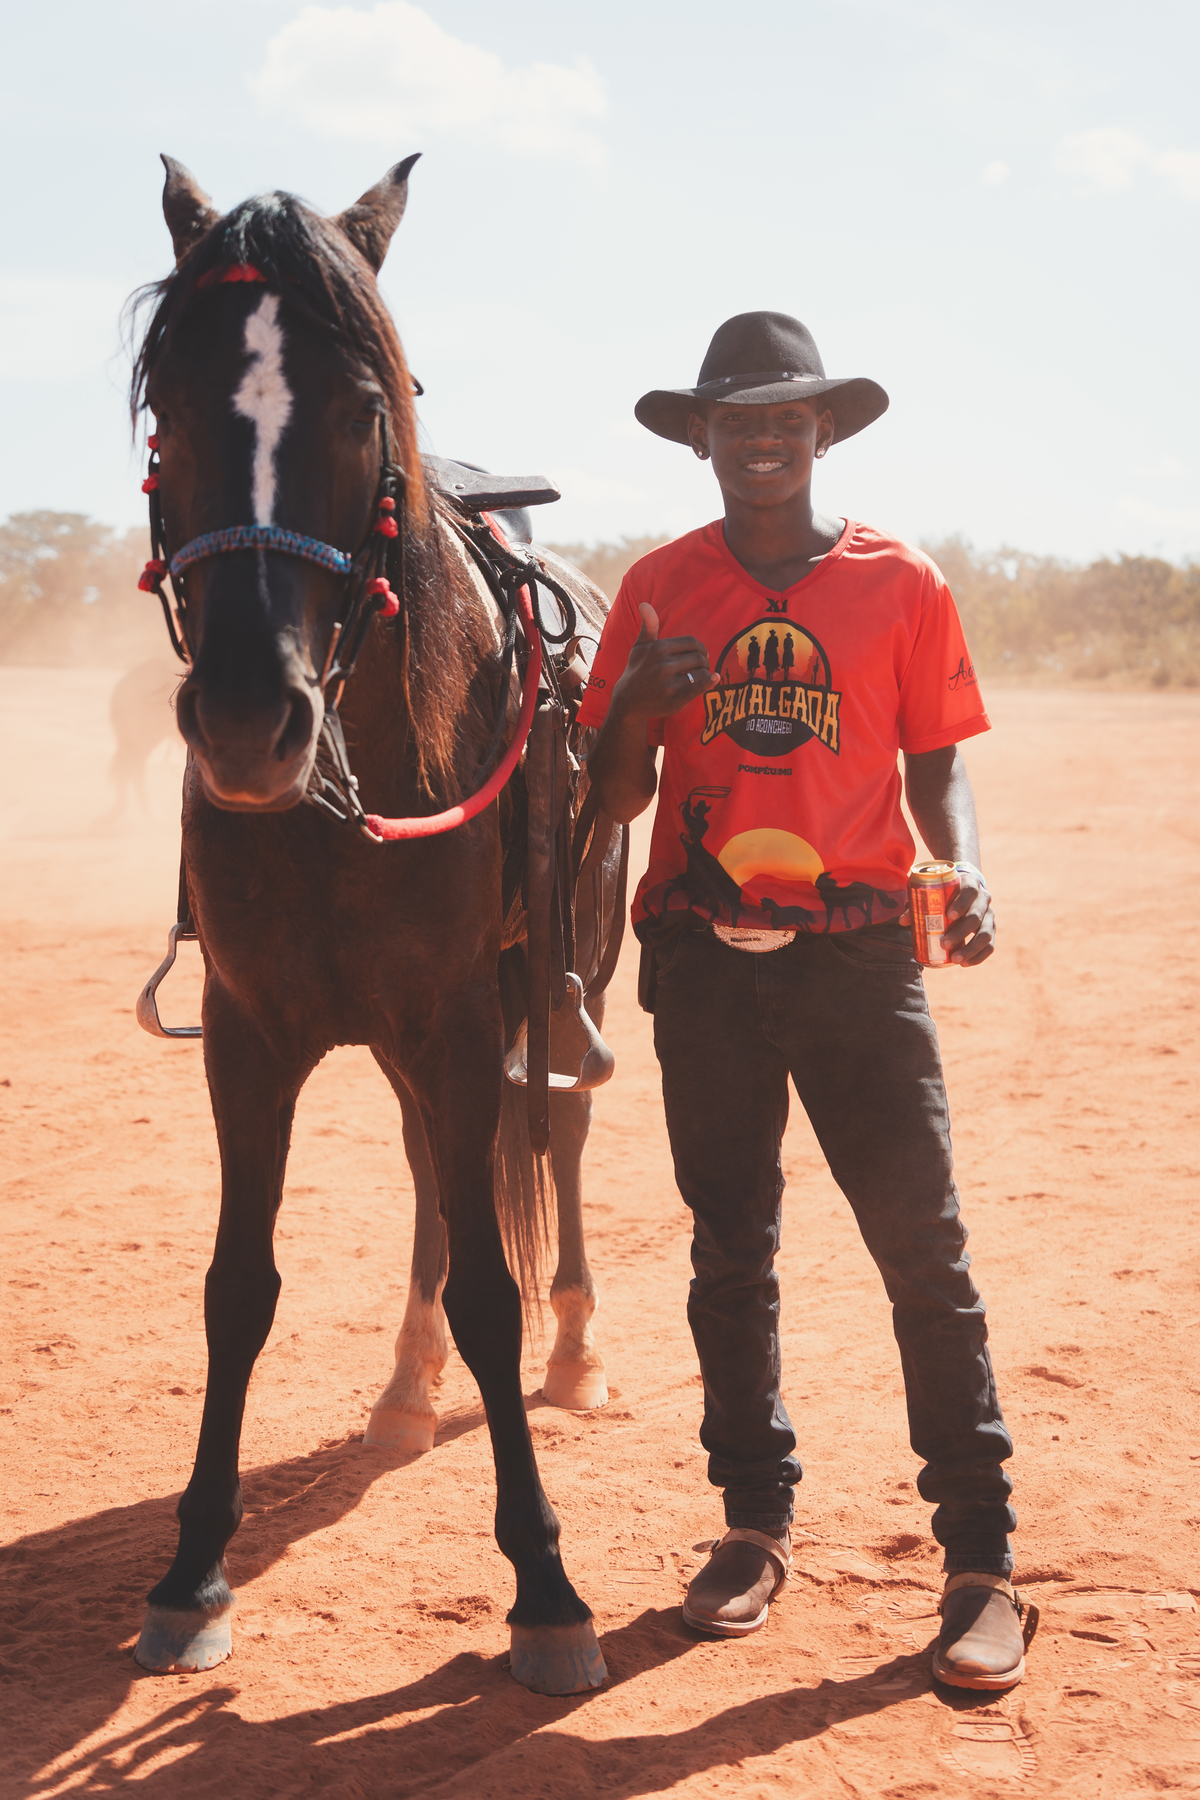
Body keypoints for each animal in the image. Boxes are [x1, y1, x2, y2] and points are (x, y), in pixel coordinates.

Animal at [127, 152, 617, 1696]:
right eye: (171, 406)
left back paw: (579, 1354)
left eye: (360, 409)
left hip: (567, 974)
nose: (246, 720)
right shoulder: (249, 1033)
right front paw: (191, 1571)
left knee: (558, 1136)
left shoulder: (466, 1020)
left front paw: (547, 1588)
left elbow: (492, 1292)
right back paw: (406, 1391)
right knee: (424, 1179)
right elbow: (237, 1288)